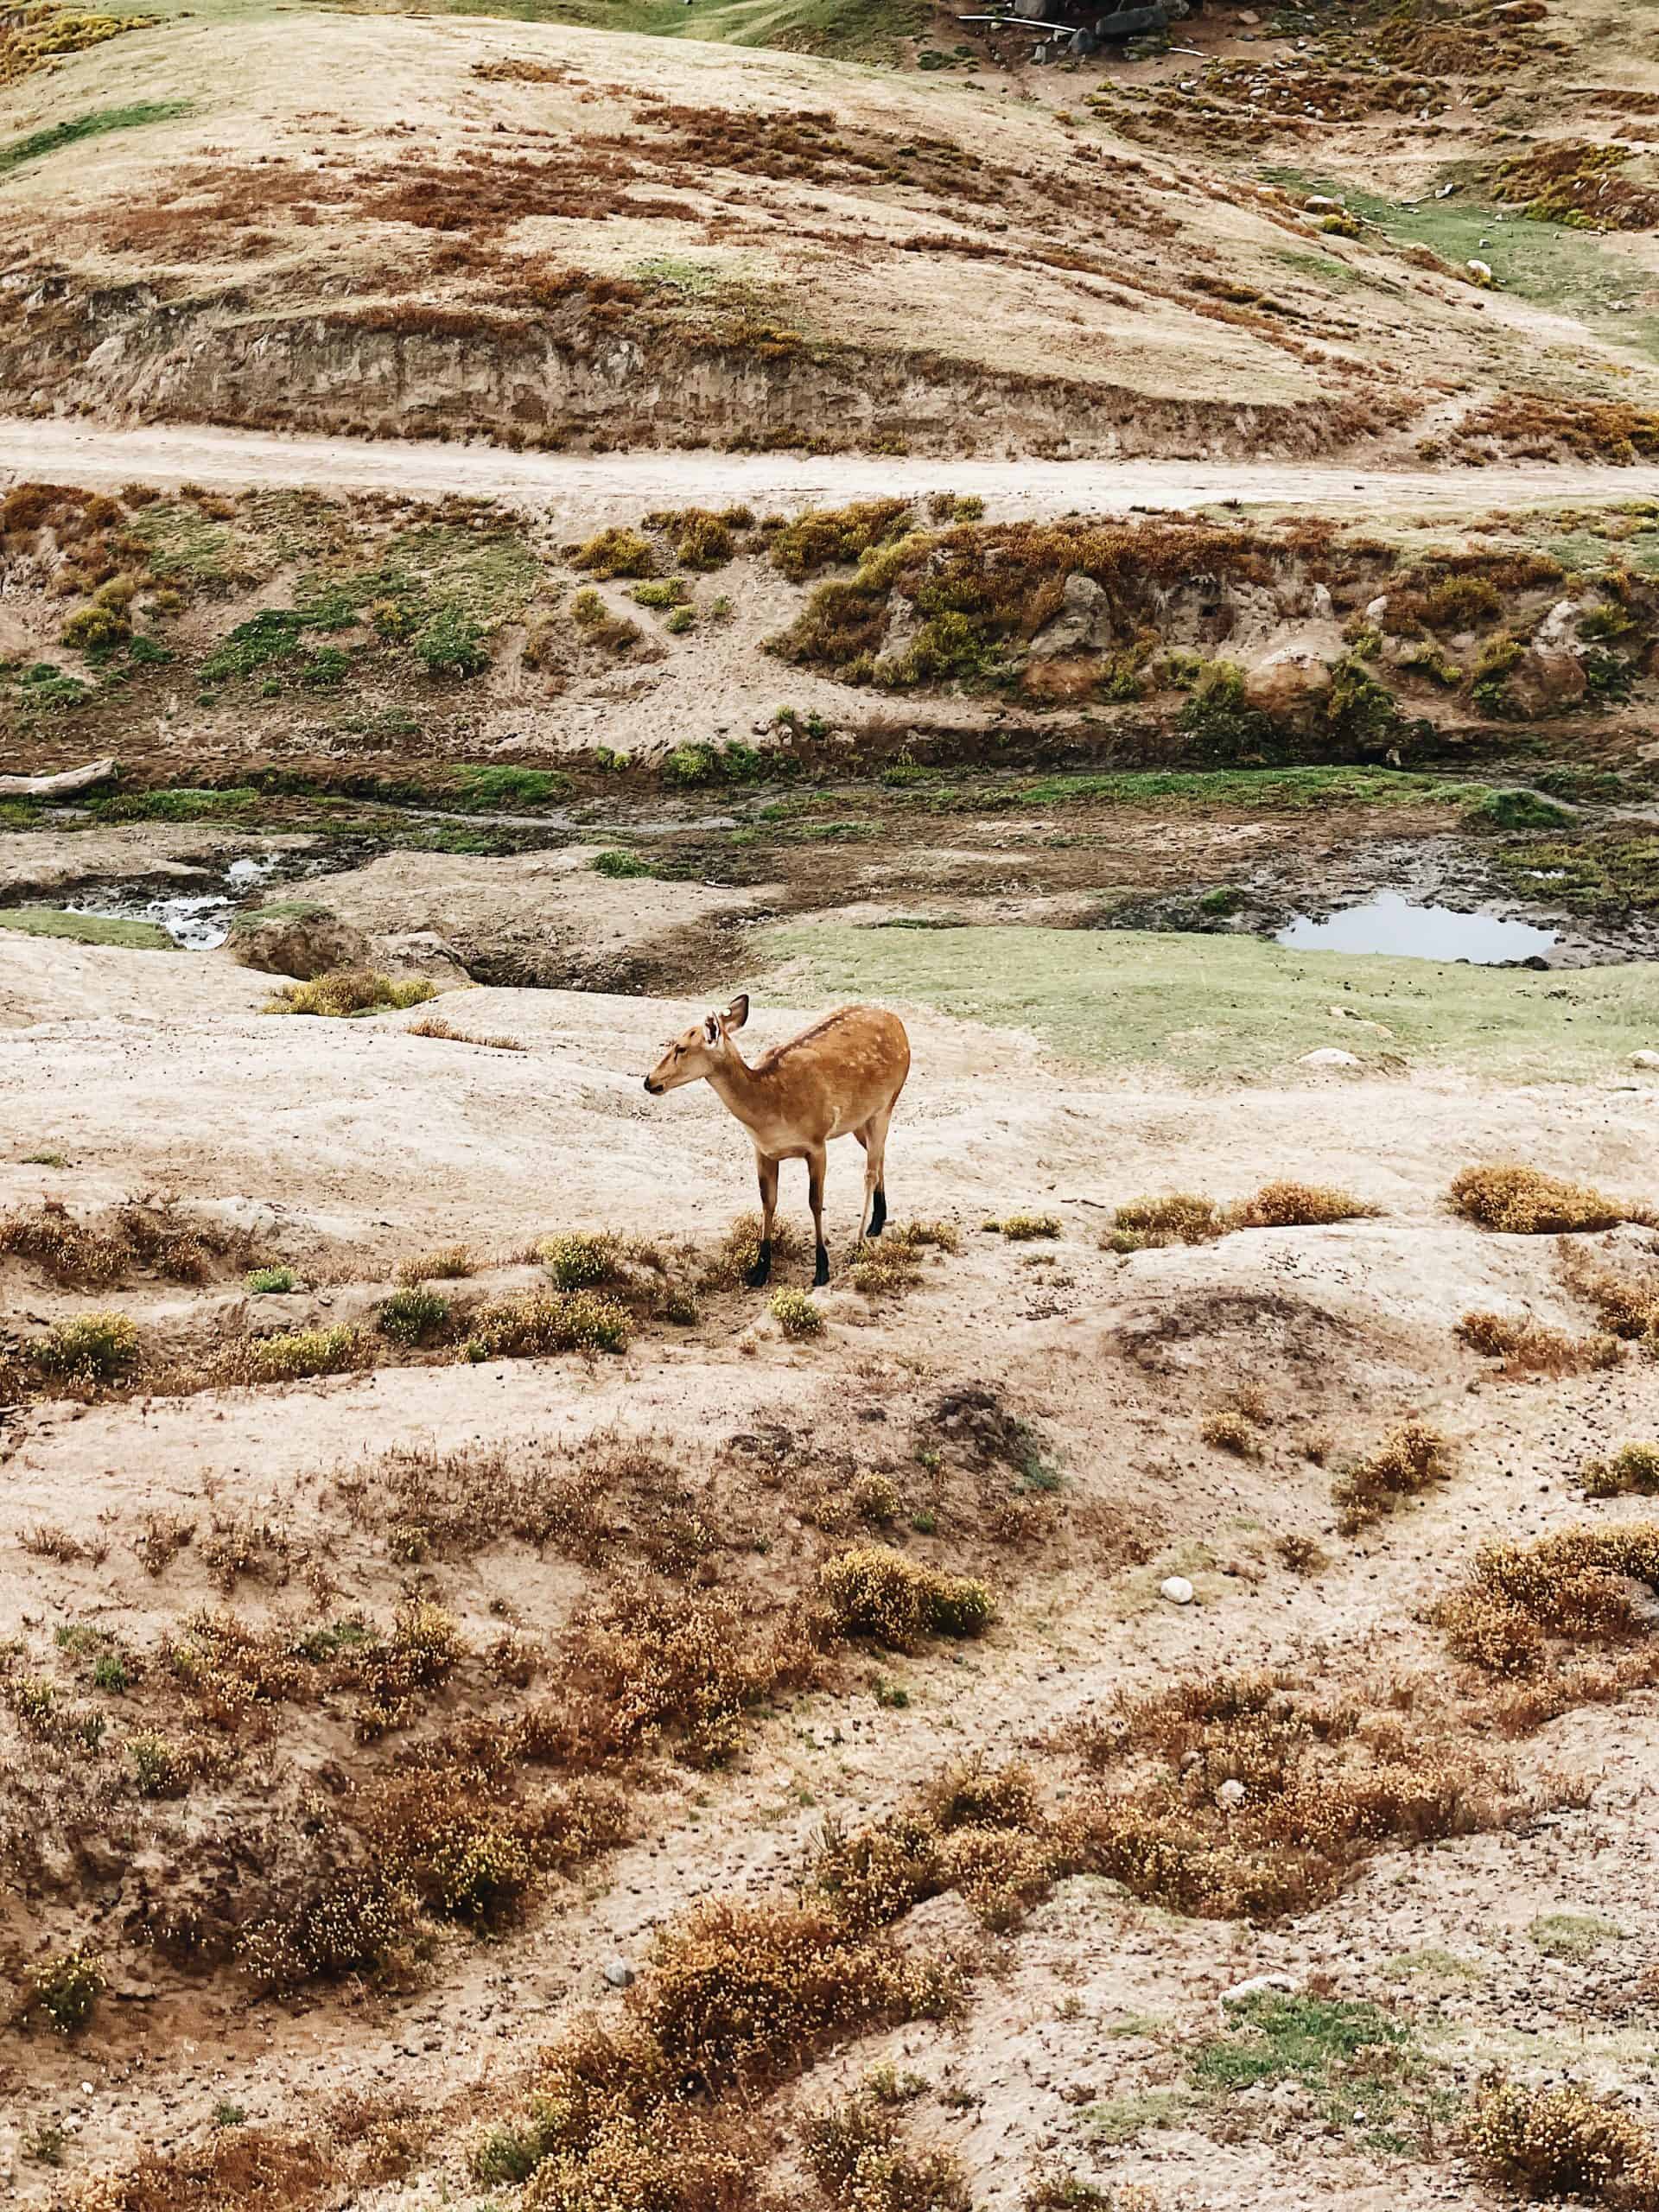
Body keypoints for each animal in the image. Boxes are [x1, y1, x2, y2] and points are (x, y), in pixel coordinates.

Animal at [645, 995, 911, 1292]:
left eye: (681, 1047)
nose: (649, 1081)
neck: (770, 1112)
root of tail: (897, 1022)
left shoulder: (817, 1143)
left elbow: (815, 1202)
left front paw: (821, 1270)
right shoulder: (762, 1151)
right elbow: (768, 1201)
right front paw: (759, 1270)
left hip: (886, 1103)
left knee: (870, 1170)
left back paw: (860, 1239)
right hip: (859, 1120)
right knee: (880, 1156)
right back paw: (877, 1221)